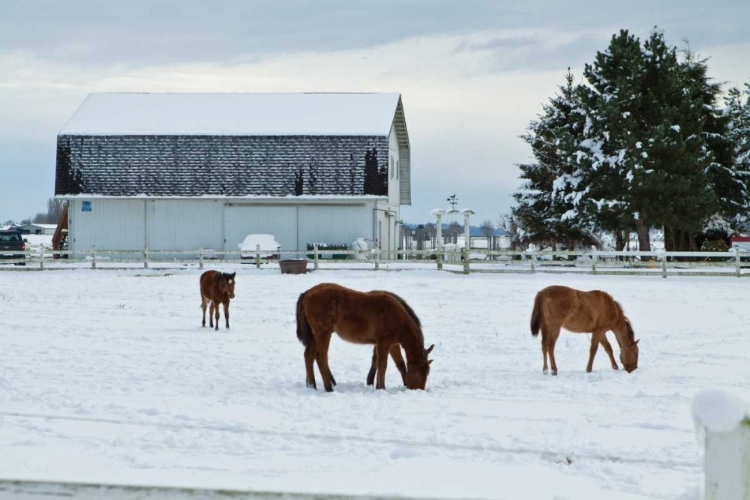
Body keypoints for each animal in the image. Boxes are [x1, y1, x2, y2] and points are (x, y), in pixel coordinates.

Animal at [296, 284, 434, 392]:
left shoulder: (393, 344)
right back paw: (328, 387)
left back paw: (312, 385)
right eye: (421, 375)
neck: (396, 316)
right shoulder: (384, 343)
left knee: (309, 356)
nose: (419, 390)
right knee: (321, 357)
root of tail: (309, 293)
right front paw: (381, 387)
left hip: (314, 336)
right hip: (323, 334)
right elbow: (382, 364)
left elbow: (399, 364)